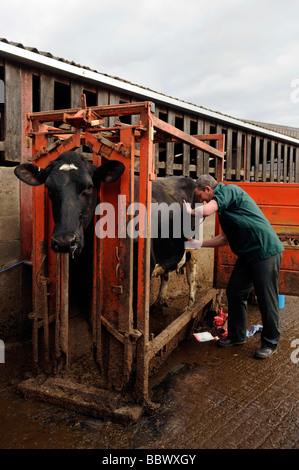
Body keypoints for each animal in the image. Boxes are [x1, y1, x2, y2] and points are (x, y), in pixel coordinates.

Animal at [14, 151, 202, 310]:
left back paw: (190, 306)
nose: (64, 241)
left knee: (192, 274)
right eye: (49, 188)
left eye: (89, 187)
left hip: (194, 245)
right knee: (167, 273)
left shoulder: (142, 267)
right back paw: (160, 301)